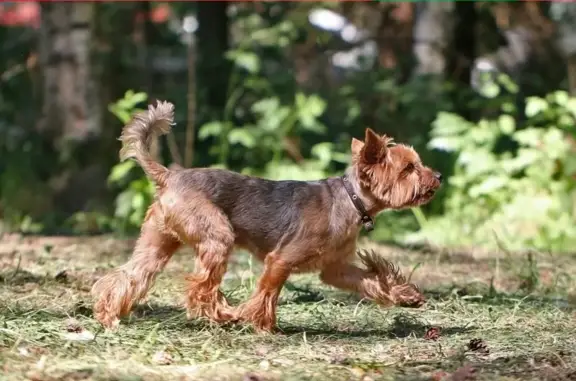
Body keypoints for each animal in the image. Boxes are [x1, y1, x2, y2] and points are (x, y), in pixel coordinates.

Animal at [92, 100, 440, 330]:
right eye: (409, 168)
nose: (437, 176)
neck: (351, 199)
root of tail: (169, 175)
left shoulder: (335, 270)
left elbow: (373, 280)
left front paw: (405, 295)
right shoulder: (281, 260)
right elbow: (267, 293)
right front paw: (262, 325)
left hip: (157, 243)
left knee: (126, 276)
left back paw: (108, 315)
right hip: (218, 236)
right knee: (201, 289)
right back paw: (225, 315)